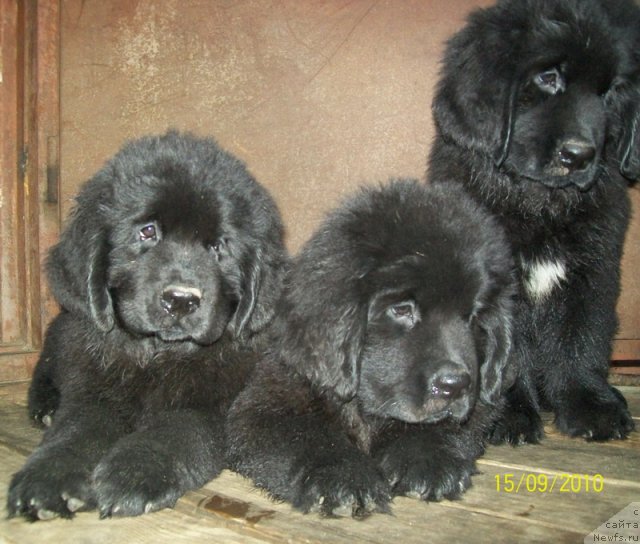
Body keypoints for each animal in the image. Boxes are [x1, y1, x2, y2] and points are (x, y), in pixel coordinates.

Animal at [6, 130, 288, 520]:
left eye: (219, 247)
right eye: (148, 232)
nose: (181, 299)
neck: (157, 354)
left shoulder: (215, 407)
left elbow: (173, 431)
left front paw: (133, 472)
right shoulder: (92, 388)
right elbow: (77, 428)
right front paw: (48, 476)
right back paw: (45, 407)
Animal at [226, 181, 516, 516]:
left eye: (472, 315)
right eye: (402, 310)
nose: (454, 385)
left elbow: (447, 426)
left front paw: (427, 460)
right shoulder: (269, 401)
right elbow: (305, 436)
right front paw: (343, 476)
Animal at [428, 0, 636, 442]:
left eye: (610, 92)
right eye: (548, 77)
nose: (579, 155)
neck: (540, 203)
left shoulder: (594, 272)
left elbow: (582, 338)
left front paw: (590, 406)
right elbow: (511, 355)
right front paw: (508, 416)